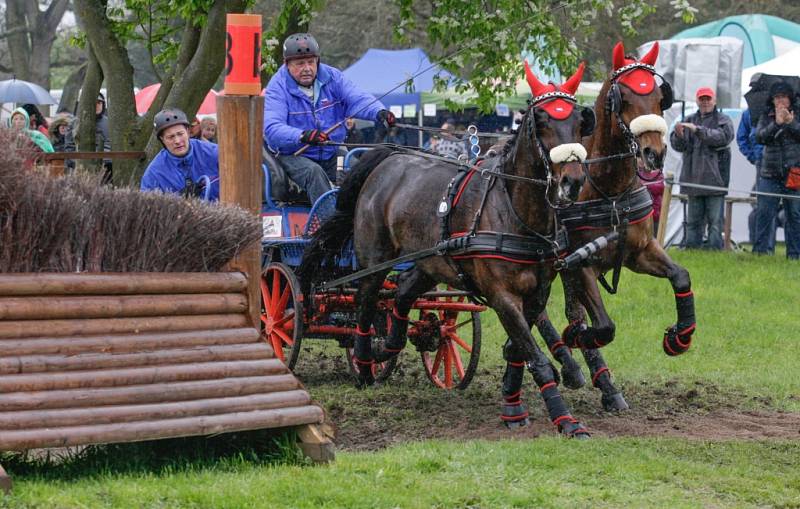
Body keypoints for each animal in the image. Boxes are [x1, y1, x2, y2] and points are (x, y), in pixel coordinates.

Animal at [304, 63, 596, 436]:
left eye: (578, 120)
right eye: (542, 120)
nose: (572, 181)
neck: (513, 210)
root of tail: (390, 157)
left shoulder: (536, 295)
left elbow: (519, 351)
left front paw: (512, 404)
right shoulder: (502, 295)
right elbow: (535, 357)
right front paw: (565, 419)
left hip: (430, 262)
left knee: (402, 293)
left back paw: (391, 345)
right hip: (375, 260)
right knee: (366, 305)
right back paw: (366, 364)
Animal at [512, 41, 692, 410]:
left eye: (659, 96)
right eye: (623, 98)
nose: (654, 153)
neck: (607, 190)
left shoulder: (640, 252)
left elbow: (680, 276)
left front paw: (679, 337)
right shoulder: (579, 266)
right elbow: (602, 325)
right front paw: (583, 345)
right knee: (540, 312)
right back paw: (569, 360)